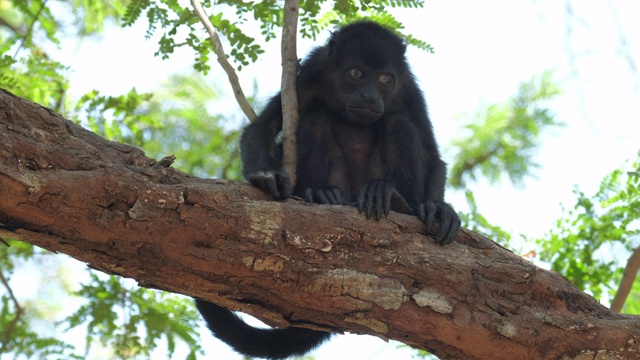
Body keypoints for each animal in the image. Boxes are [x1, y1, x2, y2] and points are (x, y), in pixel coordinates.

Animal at [195, 20, 460, 360]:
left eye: (385, 79)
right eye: (357, 73)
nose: (370, 96)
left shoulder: (408, 89)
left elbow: (432, 153)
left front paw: (438, 208)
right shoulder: (311, 74)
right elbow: (263, 127)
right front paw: (266, 175)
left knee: (398, 123)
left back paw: (398, 201)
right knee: (317, 120)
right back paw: (322, 195)